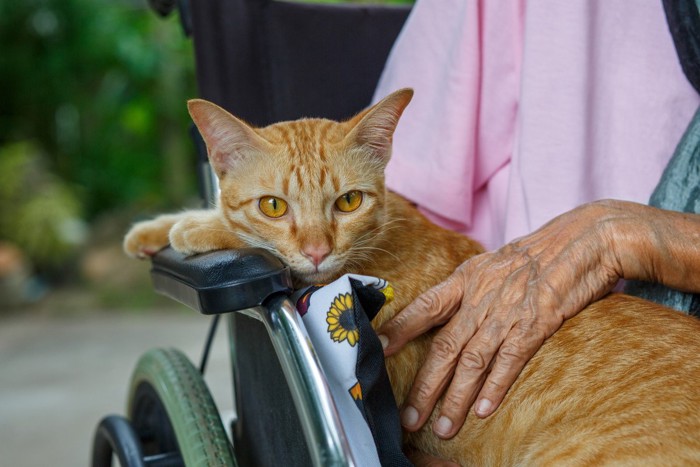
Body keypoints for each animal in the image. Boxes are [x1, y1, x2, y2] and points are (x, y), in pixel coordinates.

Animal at [124, 89, 700, 466]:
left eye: (348, 201)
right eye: (273, 205)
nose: (317, 250)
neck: (385, 232)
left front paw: (192, 226)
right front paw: (156, 228)